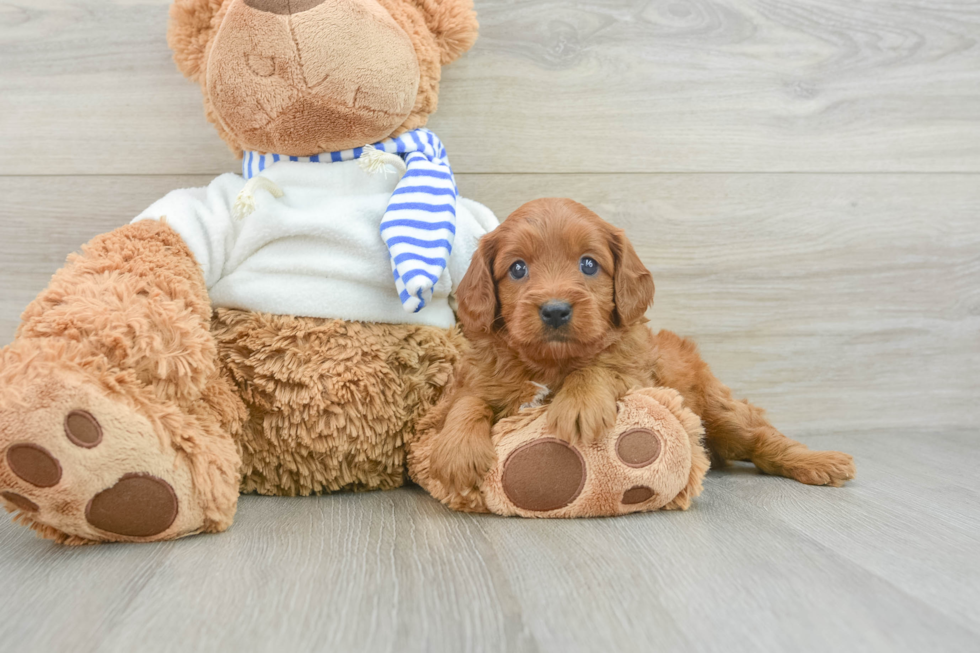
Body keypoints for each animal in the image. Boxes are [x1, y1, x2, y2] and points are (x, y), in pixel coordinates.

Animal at [430, 197, 856, 494]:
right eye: (517, 268)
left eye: (588, 264)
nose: (555, 310)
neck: (552, 363)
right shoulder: (481, 380)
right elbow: (468, 402)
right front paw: (458, 451)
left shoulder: (639, 377)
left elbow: (600, 367)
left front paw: (579, 403)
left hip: (720, 411)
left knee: (764, 439)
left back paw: (821, 462)